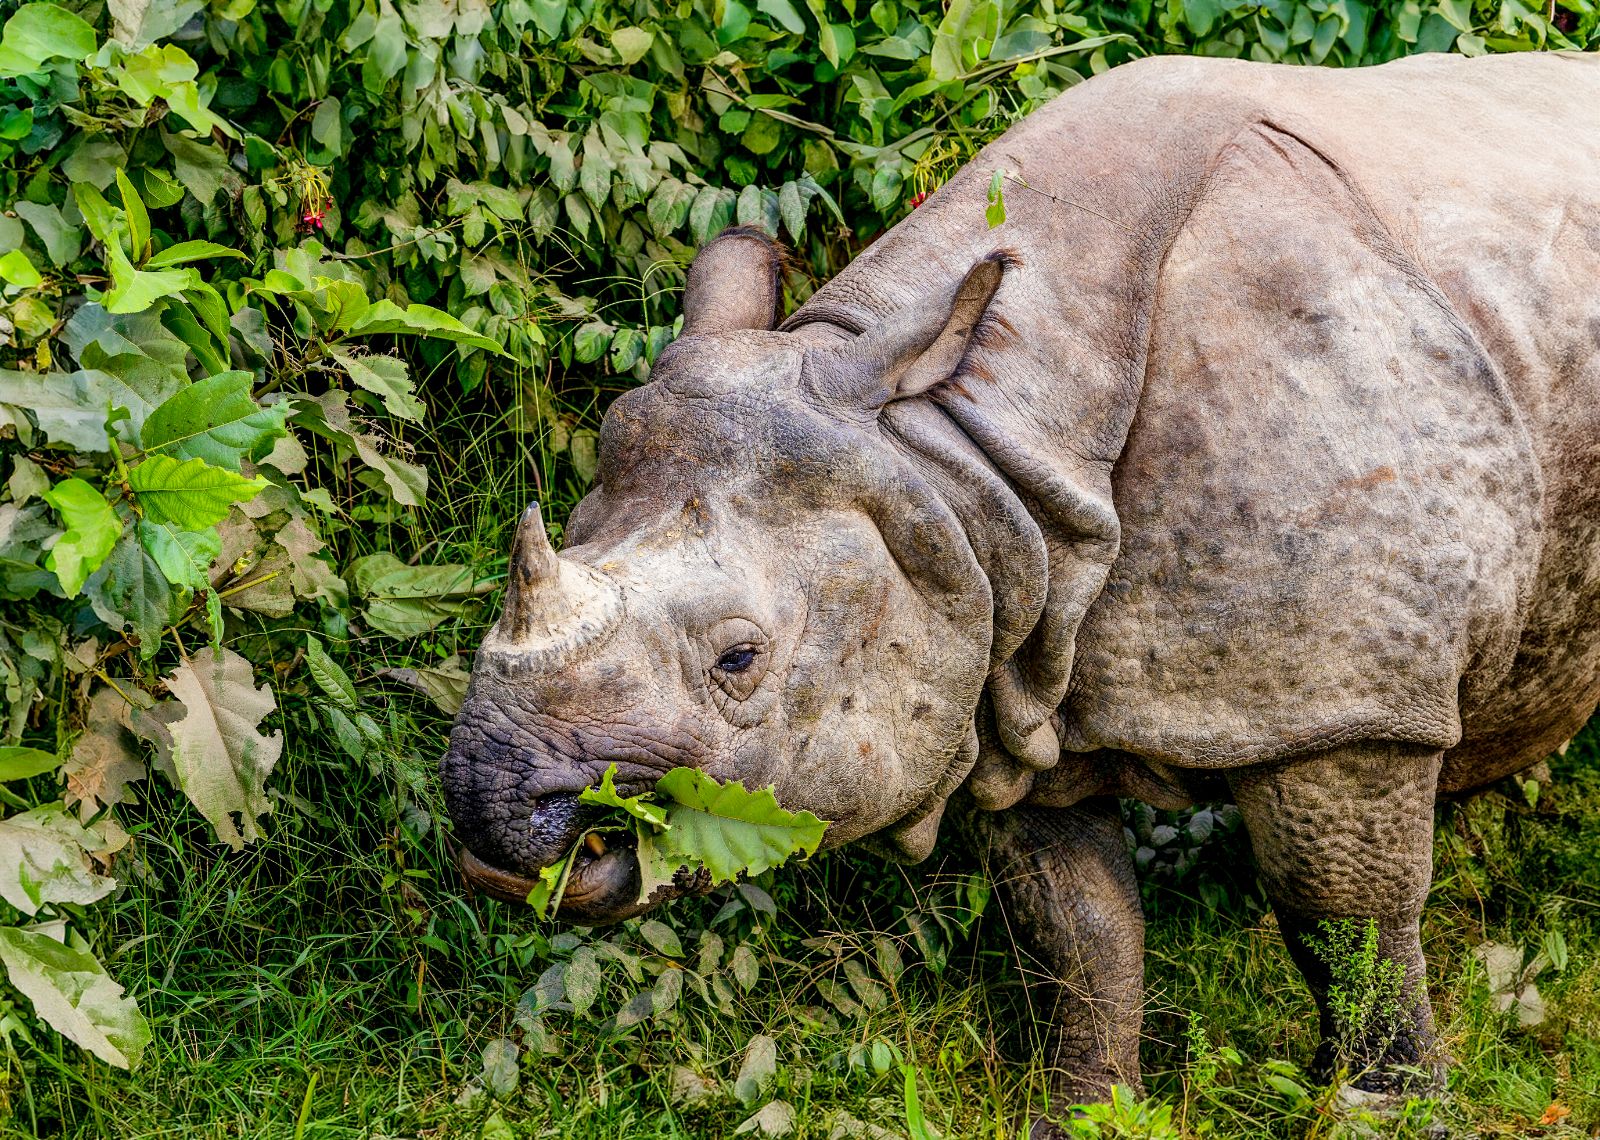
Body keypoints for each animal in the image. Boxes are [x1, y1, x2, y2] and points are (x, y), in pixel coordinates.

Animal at [442, 49, 1600, 1127]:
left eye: (739, 658)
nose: (491, 812)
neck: (964, 451)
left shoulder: (1348, 698)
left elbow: (1342, 913)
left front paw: (1384, 1112)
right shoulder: (1003, 641)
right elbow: (1076, 928)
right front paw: (1082, 1112)